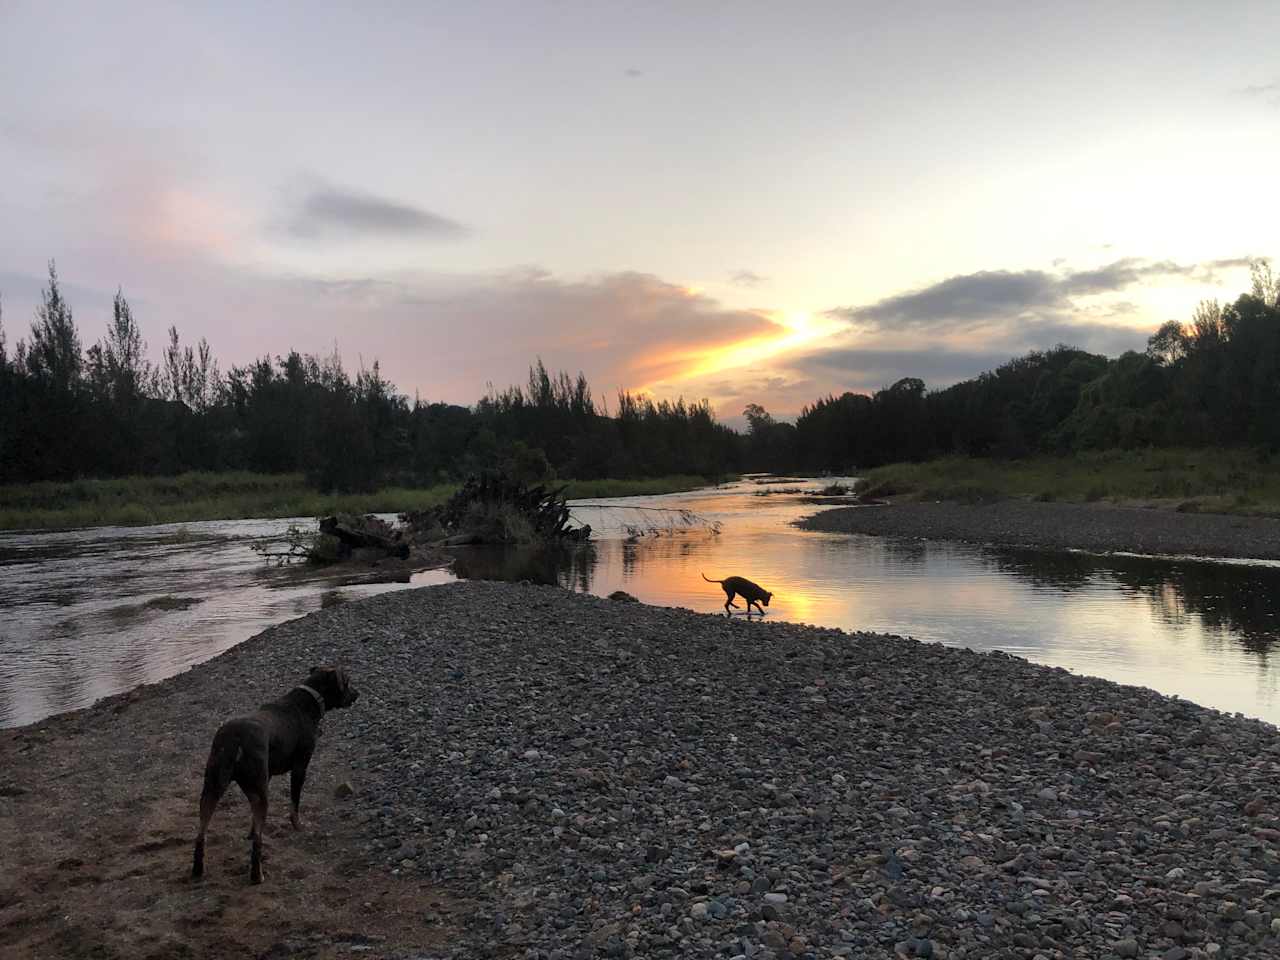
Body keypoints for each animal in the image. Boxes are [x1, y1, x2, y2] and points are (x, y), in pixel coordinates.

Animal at [192, 665, 358, 885]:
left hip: (213, 786)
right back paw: (257, 875)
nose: (357, 694)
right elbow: (294, 803)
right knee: (258, 841)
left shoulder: (267, 776)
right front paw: (298, 825)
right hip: (259, 791)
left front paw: (250, 831)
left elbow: (254, 824)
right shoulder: (300, 767)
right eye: (346, 682)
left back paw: (198, 869)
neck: (310, 701)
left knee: (201, 832)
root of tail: (235, 740)